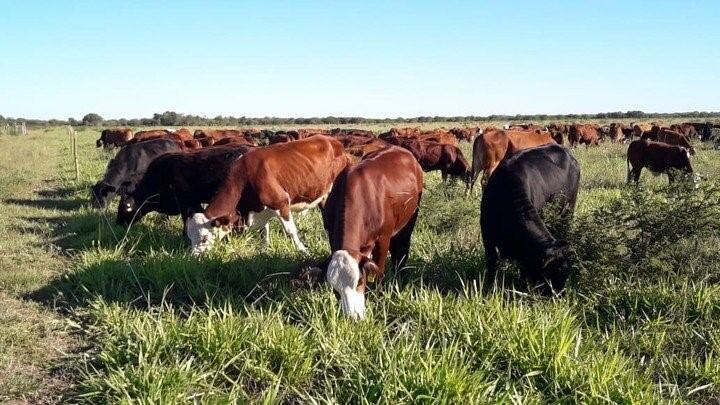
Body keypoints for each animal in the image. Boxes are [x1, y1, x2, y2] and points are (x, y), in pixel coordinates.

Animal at [186, 137, 348, 256]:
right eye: (190, 237)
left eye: (204, 238)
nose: (195, 257)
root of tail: (332, 140)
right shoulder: (261, 209)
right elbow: (264, 231)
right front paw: (264, 250)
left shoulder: (281, 202)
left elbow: (290, 231)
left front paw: (304, 251)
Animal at [320, 146, 422, 318]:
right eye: (335, 289)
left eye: (359, 282)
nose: (353, 317)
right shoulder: (331, 233)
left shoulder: (383, 238)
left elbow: (379, 271)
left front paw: (379, 297)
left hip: (409, 221)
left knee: (402, 250)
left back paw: (400, 278)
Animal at [480, 144, 584, 294]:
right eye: (549, 273)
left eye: (565, 273)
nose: (560, 294)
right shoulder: (489, 243)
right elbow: (491, 270)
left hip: (568, 210)